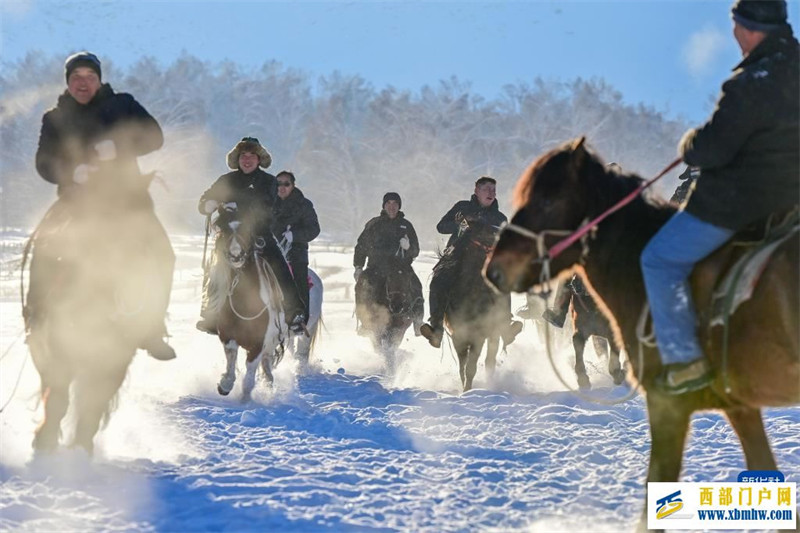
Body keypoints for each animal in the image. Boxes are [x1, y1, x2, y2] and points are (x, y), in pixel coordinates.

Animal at [211, 206, 290, 402]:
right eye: (224, 230)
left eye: (247, 229)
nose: (236, 255)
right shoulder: (228, 336)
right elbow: (231, 362)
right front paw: (224, 385)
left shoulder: (258, 344)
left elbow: (249, 378)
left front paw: (245, 401)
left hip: (271, 344)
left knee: (267, 369)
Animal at [438, 218, 506, 388]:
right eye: (489, 233)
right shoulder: (458, 334)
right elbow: (462, 366)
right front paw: (464, 387)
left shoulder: (479, 335)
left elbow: (471, 367)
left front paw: (467, 390)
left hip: (494, 331)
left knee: (490, 359)